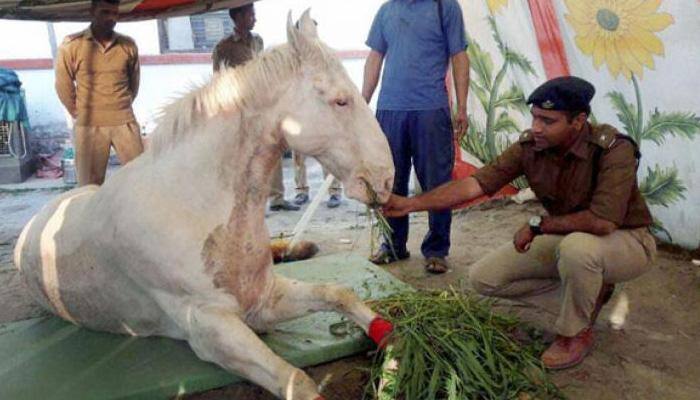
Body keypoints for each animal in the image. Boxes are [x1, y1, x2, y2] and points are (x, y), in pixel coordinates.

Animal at [13, 12, 394, 400]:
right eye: (340, 101)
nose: (386, 180)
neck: (193, 204)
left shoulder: (263, 299)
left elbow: (340, 294)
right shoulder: (211, 327)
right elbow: (297, 380)